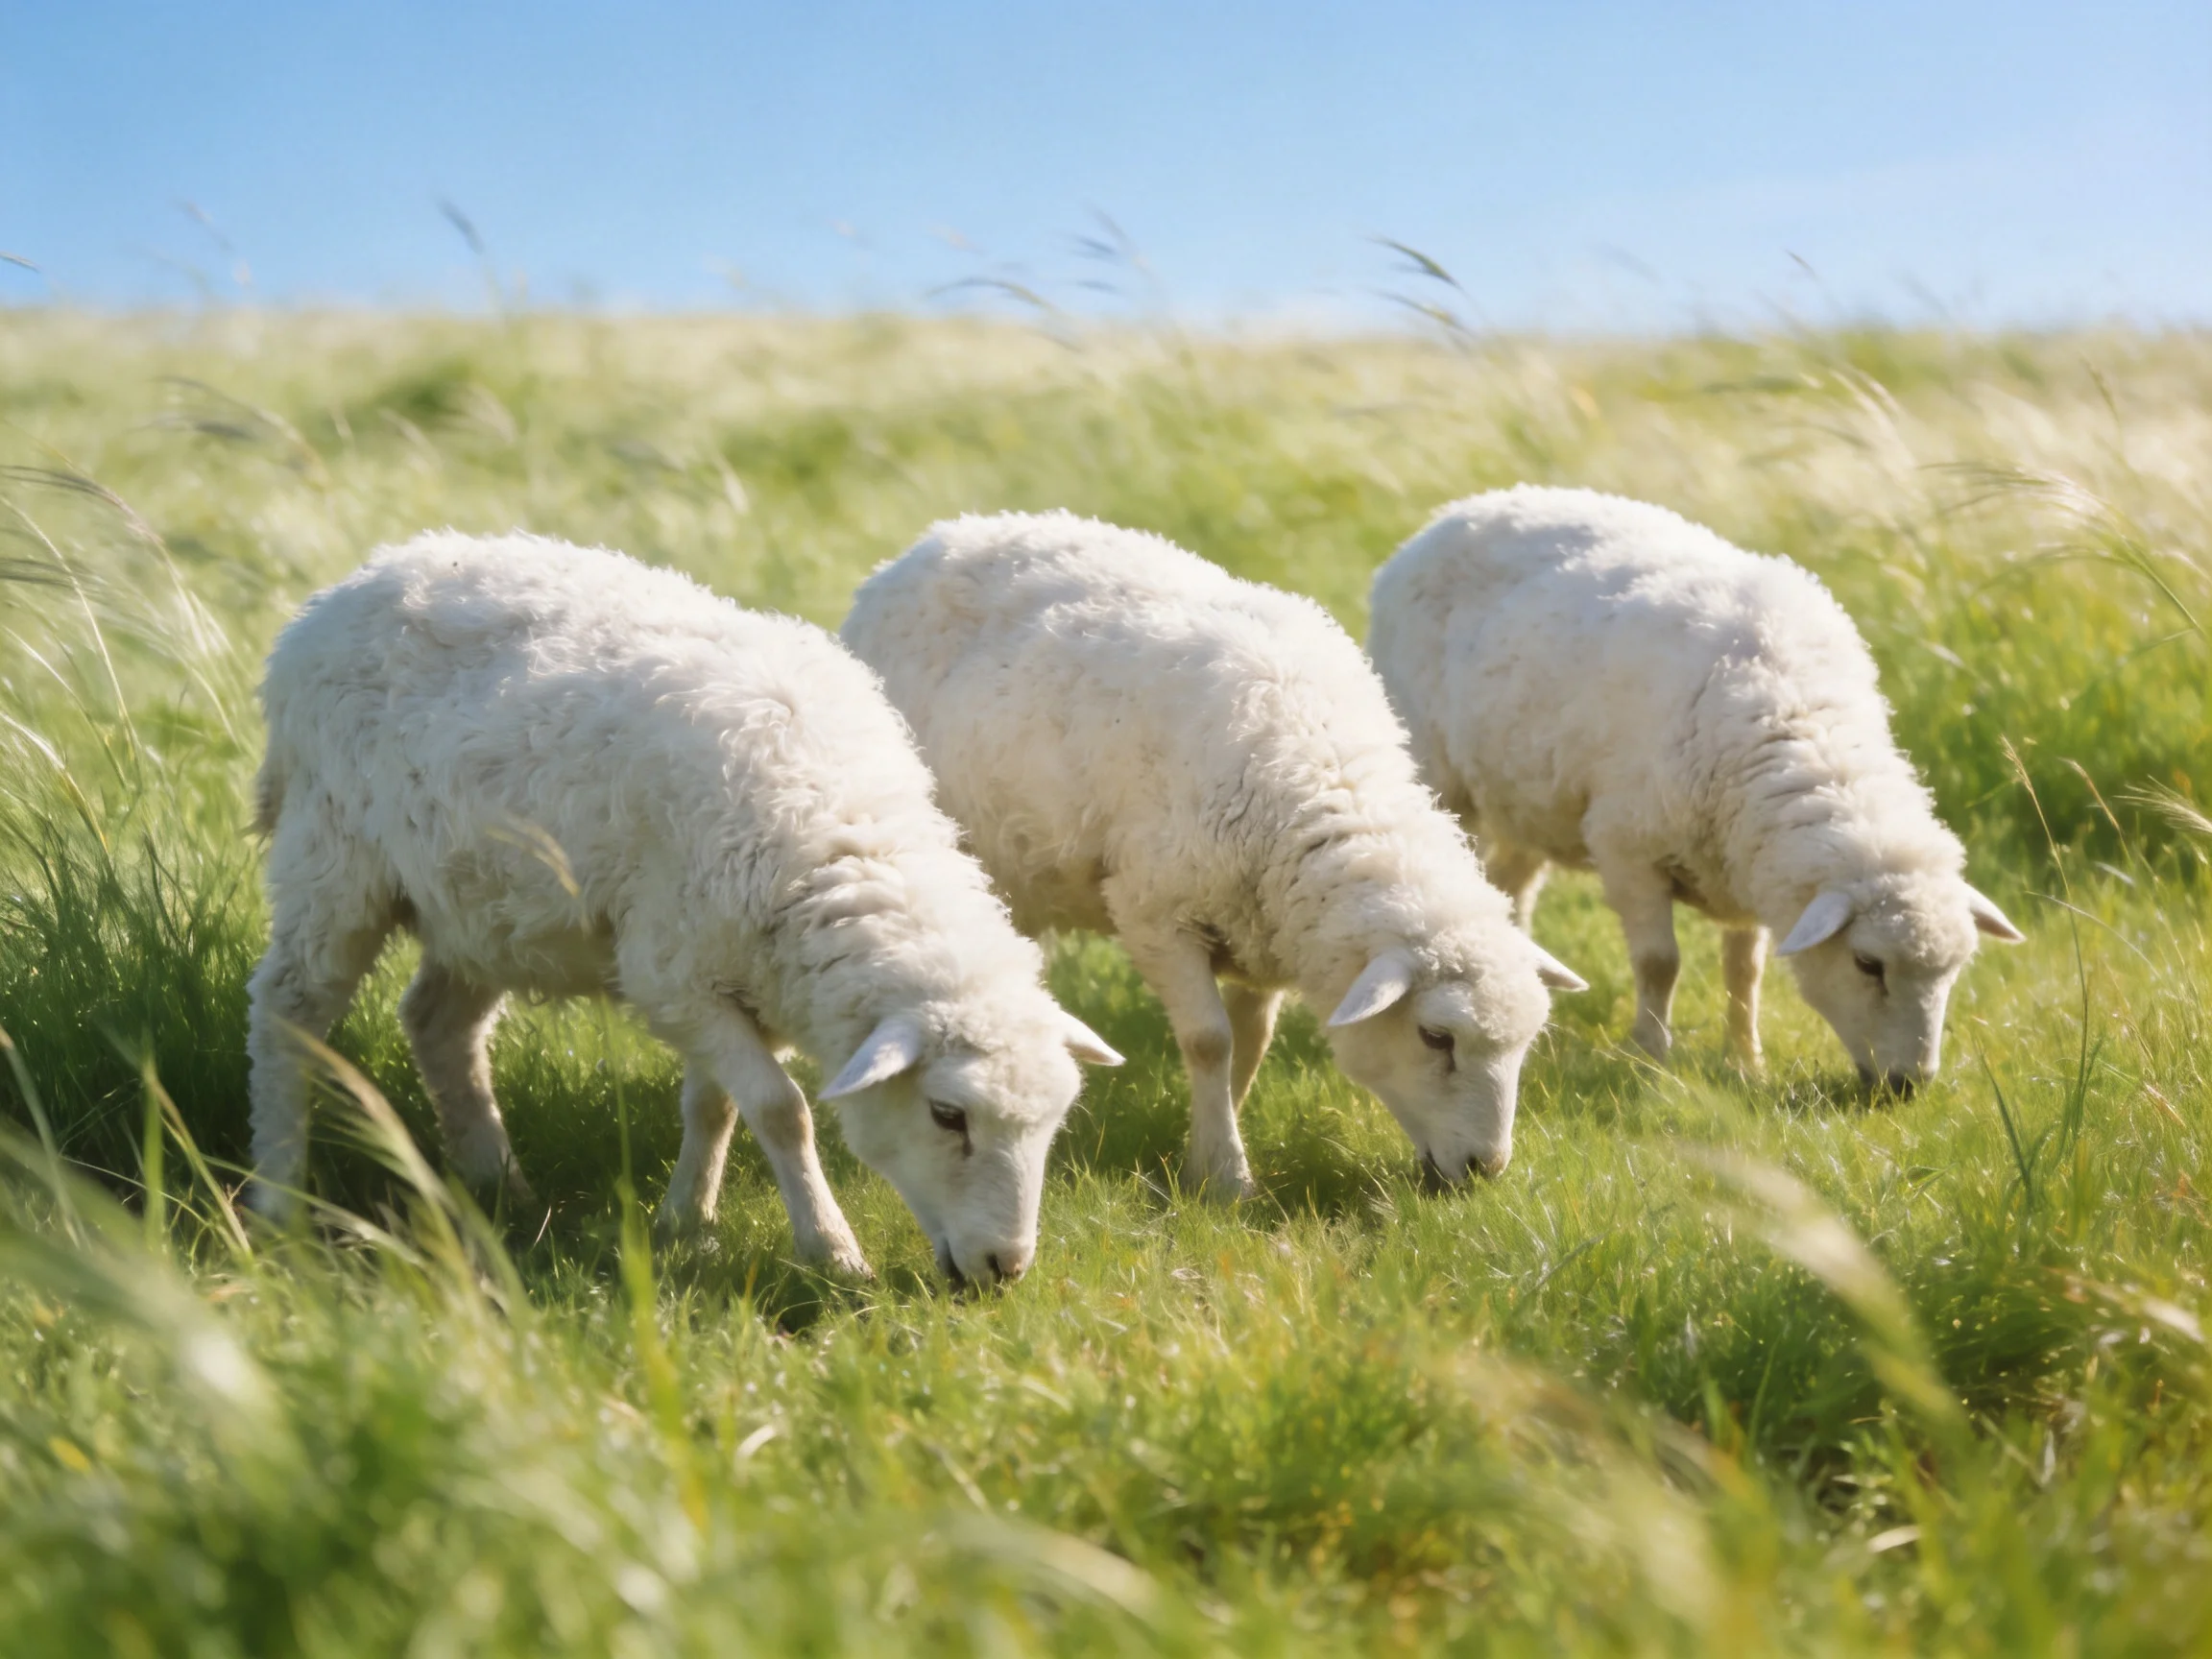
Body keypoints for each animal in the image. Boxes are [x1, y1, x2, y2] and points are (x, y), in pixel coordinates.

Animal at [246, 530, 1120, 1285]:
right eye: (947, 1115)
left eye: (1052, 1122)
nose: (1004, 1268)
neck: (841, 835)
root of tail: (361, 578)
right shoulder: (670, 975)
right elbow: (780, 1109)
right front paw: (832, 1250)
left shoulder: (735, 974)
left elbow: (714, 1105)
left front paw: (685, 1221)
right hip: (333, 855)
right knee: (289, 1010)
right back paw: (278, 1196)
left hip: (481, 904)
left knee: (438, 1022)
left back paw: (497, 1182)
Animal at [839, 511, 1586, 1196]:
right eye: (1437, 1037)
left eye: (1527, 1041)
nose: (1486, 1171)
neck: (1317, 776)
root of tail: (937, 537)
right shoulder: (1155, 912)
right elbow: (1210, 1041)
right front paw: (1224, 1174)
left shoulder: (1264, 924)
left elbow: (1250, 1040)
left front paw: (1214, 1134)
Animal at [1368, 486, 2023, 1091]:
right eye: (1868, 963)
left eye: (1955, 969)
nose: (1909, 1085)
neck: (1793, 718)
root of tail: (1462, 509)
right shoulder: (1627, 847)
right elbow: (1660, 963)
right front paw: (1651, 1058)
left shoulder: (1744, 861)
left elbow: (1744, 969)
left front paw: (1746, 1060)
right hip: (1439, 772)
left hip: (1526, 795)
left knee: (1512, 885)